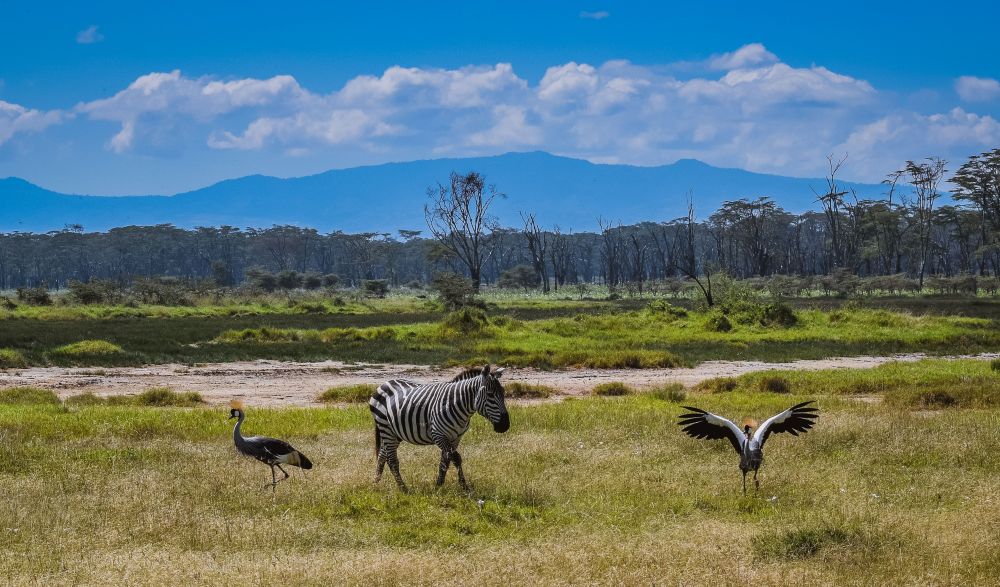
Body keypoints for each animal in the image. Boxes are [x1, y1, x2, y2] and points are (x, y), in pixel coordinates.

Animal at [369, 365, 510, 491]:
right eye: (490, 394)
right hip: (385, 427)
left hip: (395, 432)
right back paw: (403, 489)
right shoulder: (438, 434)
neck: (458, 405)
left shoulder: (456, 437)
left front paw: (440, 485)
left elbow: (446, 460)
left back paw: (376, 482)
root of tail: (385, 383)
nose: (505, 425)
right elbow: (455, 458)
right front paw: (462, 486)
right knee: (392, 460)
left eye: (503, 393)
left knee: (382, 455)